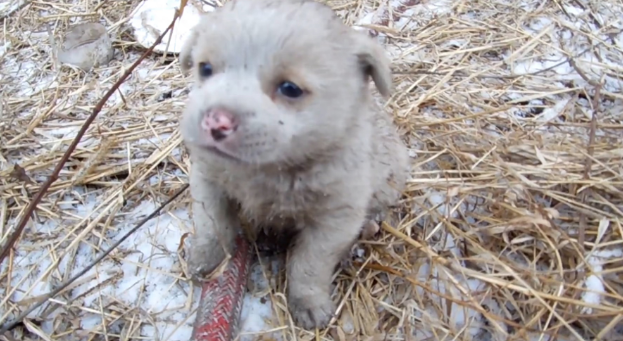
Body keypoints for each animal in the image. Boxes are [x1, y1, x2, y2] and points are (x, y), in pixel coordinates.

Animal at [177, 0, 410, 330]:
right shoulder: (207, 180)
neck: (263, 172)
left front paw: (309, 304)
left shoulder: (336, 217)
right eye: (205, 69)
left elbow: (309, 264)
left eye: (290, 88)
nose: (214, 121)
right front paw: (205, 258)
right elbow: (213, 224)